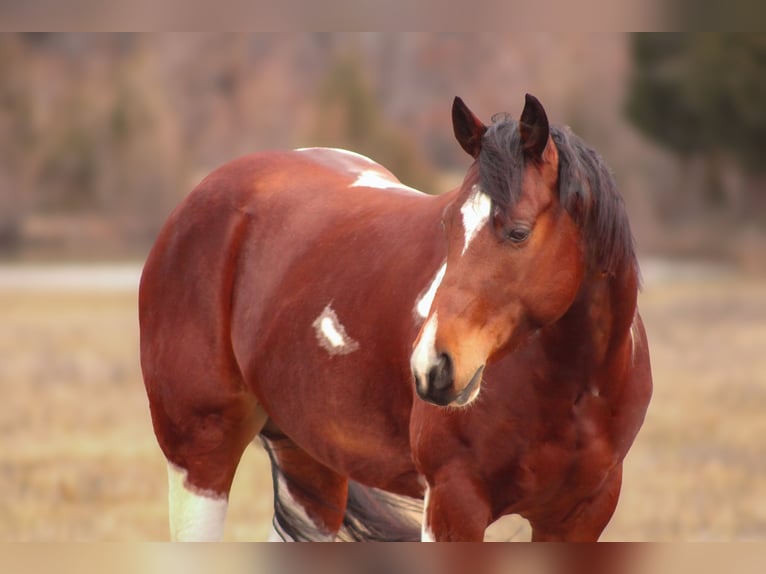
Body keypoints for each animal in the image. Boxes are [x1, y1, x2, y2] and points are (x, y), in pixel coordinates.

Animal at [140, 94, 656, 544]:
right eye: (447, 224)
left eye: (518, 232)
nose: (432, 367)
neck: (572, 389)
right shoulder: (453, 504)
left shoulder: (577, 517)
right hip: (200, 458)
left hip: (310, 464)